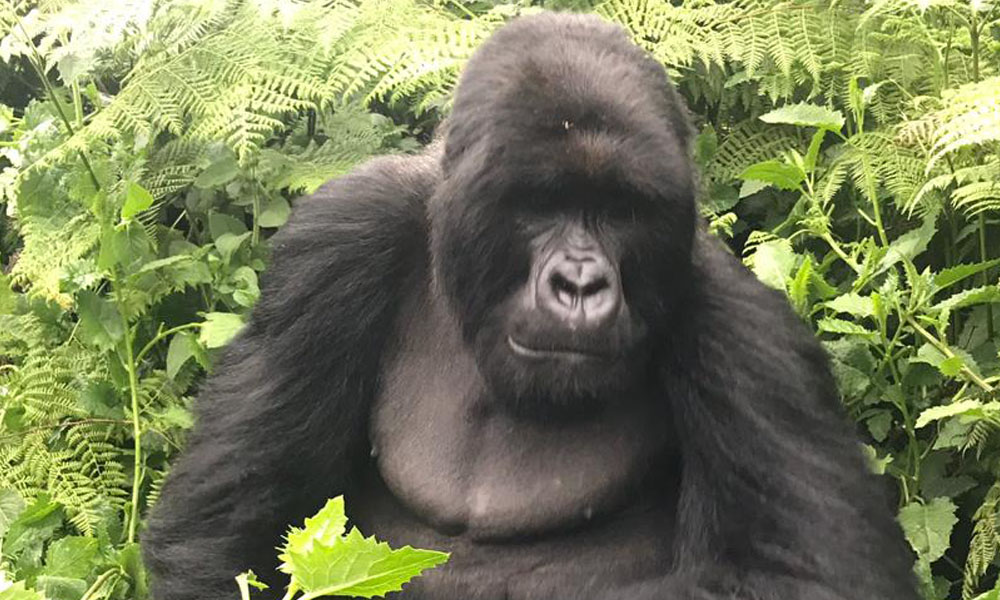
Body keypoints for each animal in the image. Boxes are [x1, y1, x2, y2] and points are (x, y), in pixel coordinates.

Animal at [145, 10, 916, 600]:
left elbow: (808, 572)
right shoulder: (336, 243)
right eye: (542, 203)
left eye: (621, 211)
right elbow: (225, 540)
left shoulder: (743, 332)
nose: (580, 284)